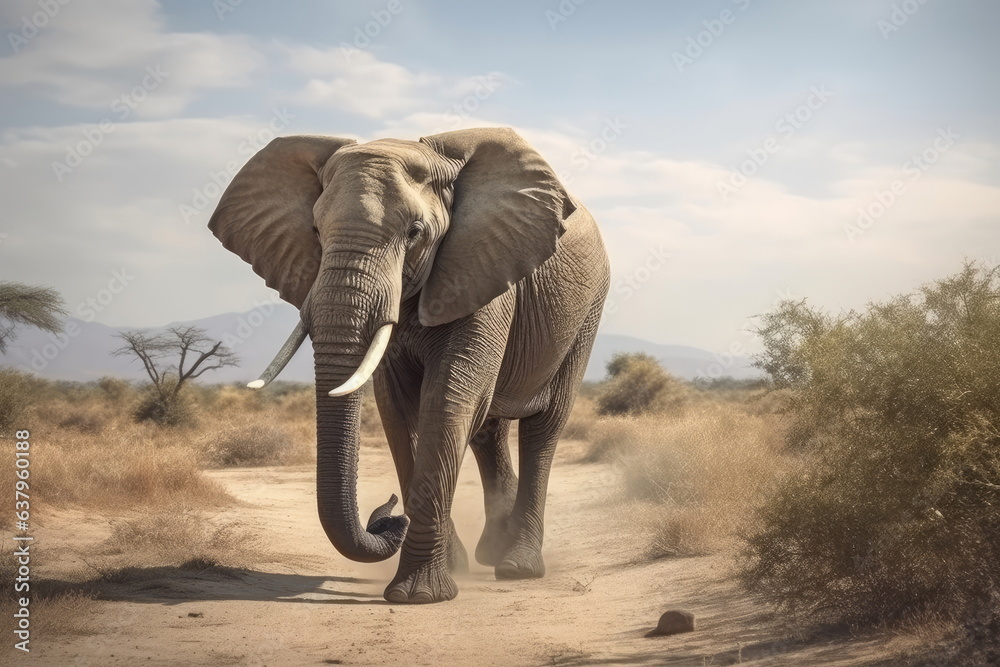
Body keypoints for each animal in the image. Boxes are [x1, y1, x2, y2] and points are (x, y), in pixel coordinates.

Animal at [208, 127, 610, 603]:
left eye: (415, 232)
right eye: (315, 230)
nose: (388, 514)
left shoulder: (480, 266)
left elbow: (449, 400)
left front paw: (419, 595)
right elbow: (399, 411)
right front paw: (448, 571)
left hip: (587, 312)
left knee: (544, 427)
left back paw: (517, 567)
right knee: (490, 430)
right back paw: (491, 553)